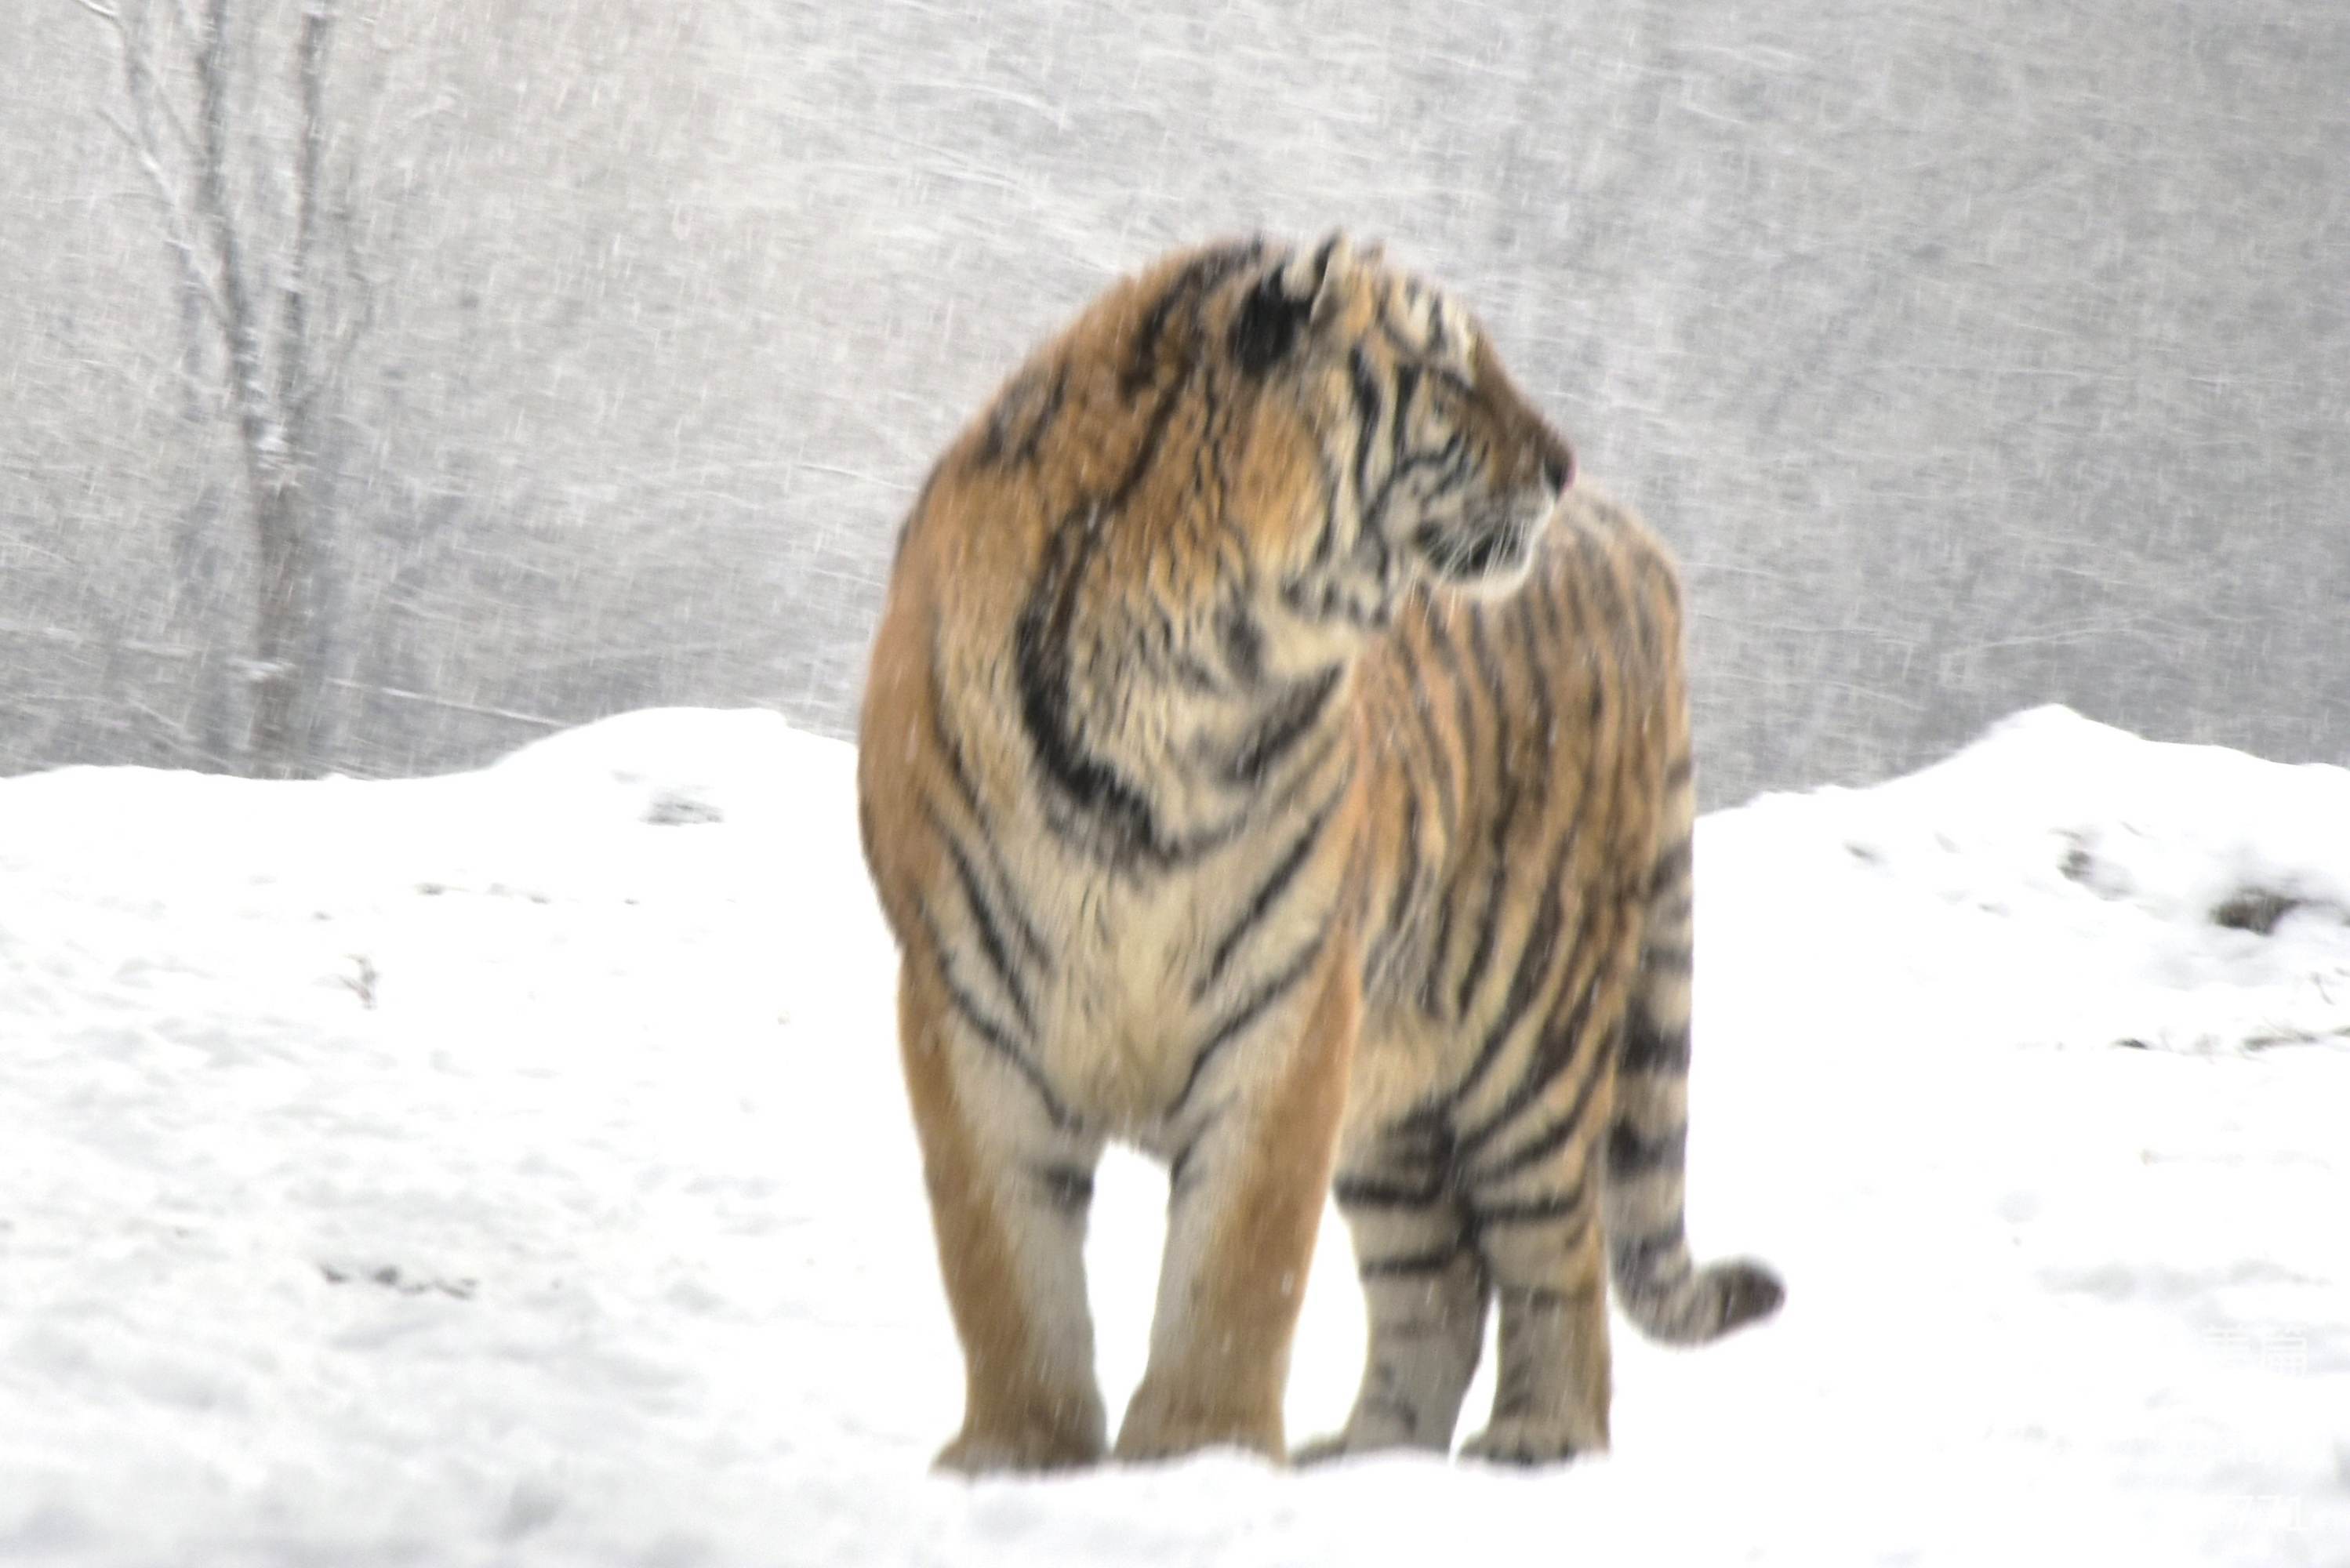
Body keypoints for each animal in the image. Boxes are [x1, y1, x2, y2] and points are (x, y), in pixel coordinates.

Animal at [859, 232, 1776, 1476]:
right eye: (1449, 372)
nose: (1562, 464)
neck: (1181, 682)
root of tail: (1636, 541)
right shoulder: (967, 1008)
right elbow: (1003, 1266)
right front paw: (1020, 1452)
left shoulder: (1288, 1006)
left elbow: (1237, 1268)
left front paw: (1194, 1452)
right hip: (1397, 1101)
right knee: (1439, 1281)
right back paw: (1369, 1453)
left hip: (1532, 1031)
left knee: (1557, 1249)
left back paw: (1540, 1436)